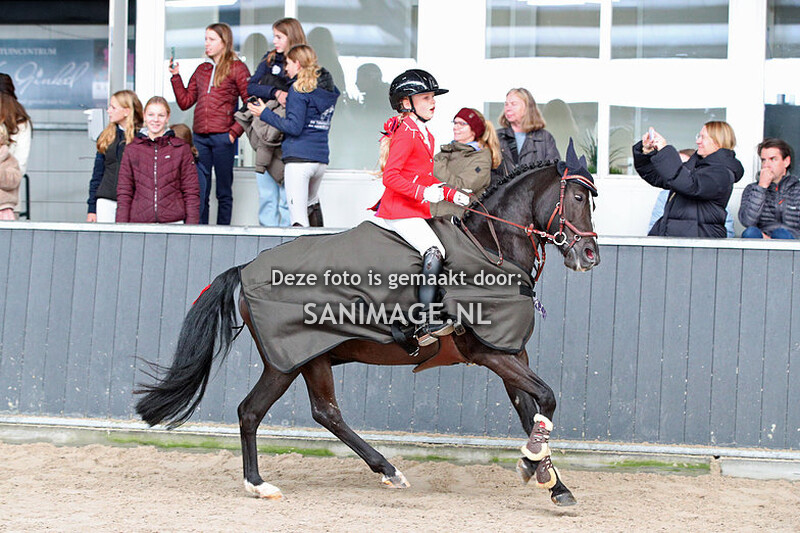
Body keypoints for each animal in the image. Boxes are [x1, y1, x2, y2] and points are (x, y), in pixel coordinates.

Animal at [135, 159, 600, 506]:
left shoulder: (512, 353)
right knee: (290, 412)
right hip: (290, 358)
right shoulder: (490, 353)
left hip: (304, 359)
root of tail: (246, 269)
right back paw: (364, 473)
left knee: (291, 412)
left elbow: (531, 412)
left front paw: (549, 479)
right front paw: (535, 465)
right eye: (578, 197)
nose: (589, 255)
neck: (490, 250)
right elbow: (546, 398)